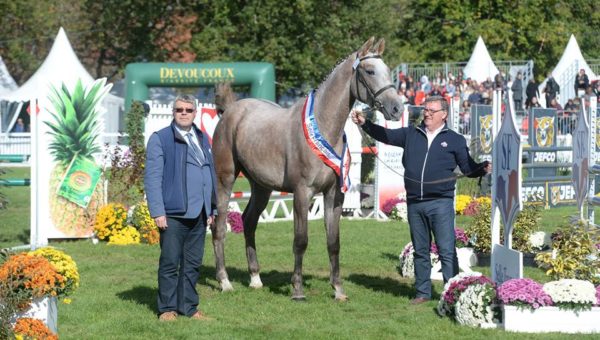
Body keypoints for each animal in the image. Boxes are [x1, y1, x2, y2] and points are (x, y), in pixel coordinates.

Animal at [211, 37, 404, 300]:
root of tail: (231, 110)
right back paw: (224, 281)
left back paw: (255, 278)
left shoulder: (334, 195)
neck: (322, 125)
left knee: (249, 221)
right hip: (225, 179)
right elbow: (300, 240)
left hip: (261, 187)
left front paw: (338, 290)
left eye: (388, 69)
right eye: (370, 71)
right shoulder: (303, 193)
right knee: (219, 226)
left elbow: (333, 242)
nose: (397, 109)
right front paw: (297, 289)